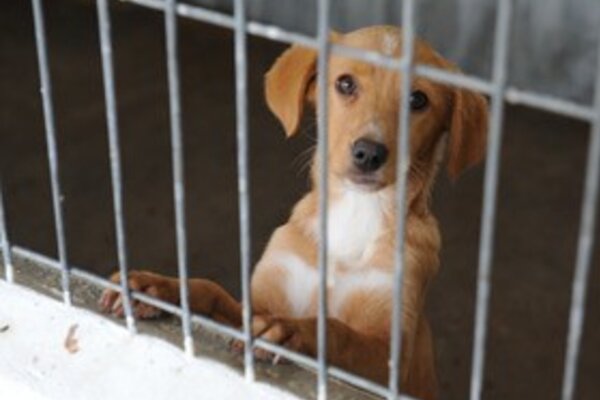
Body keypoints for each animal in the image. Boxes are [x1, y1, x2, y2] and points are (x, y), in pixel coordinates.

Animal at [99, 25, 488, 400]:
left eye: (417, 100)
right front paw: (157, 286)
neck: (354, 215)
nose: (369, 153)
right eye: (345, 83)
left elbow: (337, 329)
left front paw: (289, 330)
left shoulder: (391, 362)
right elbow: (210, 289)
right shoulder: (258, 303)